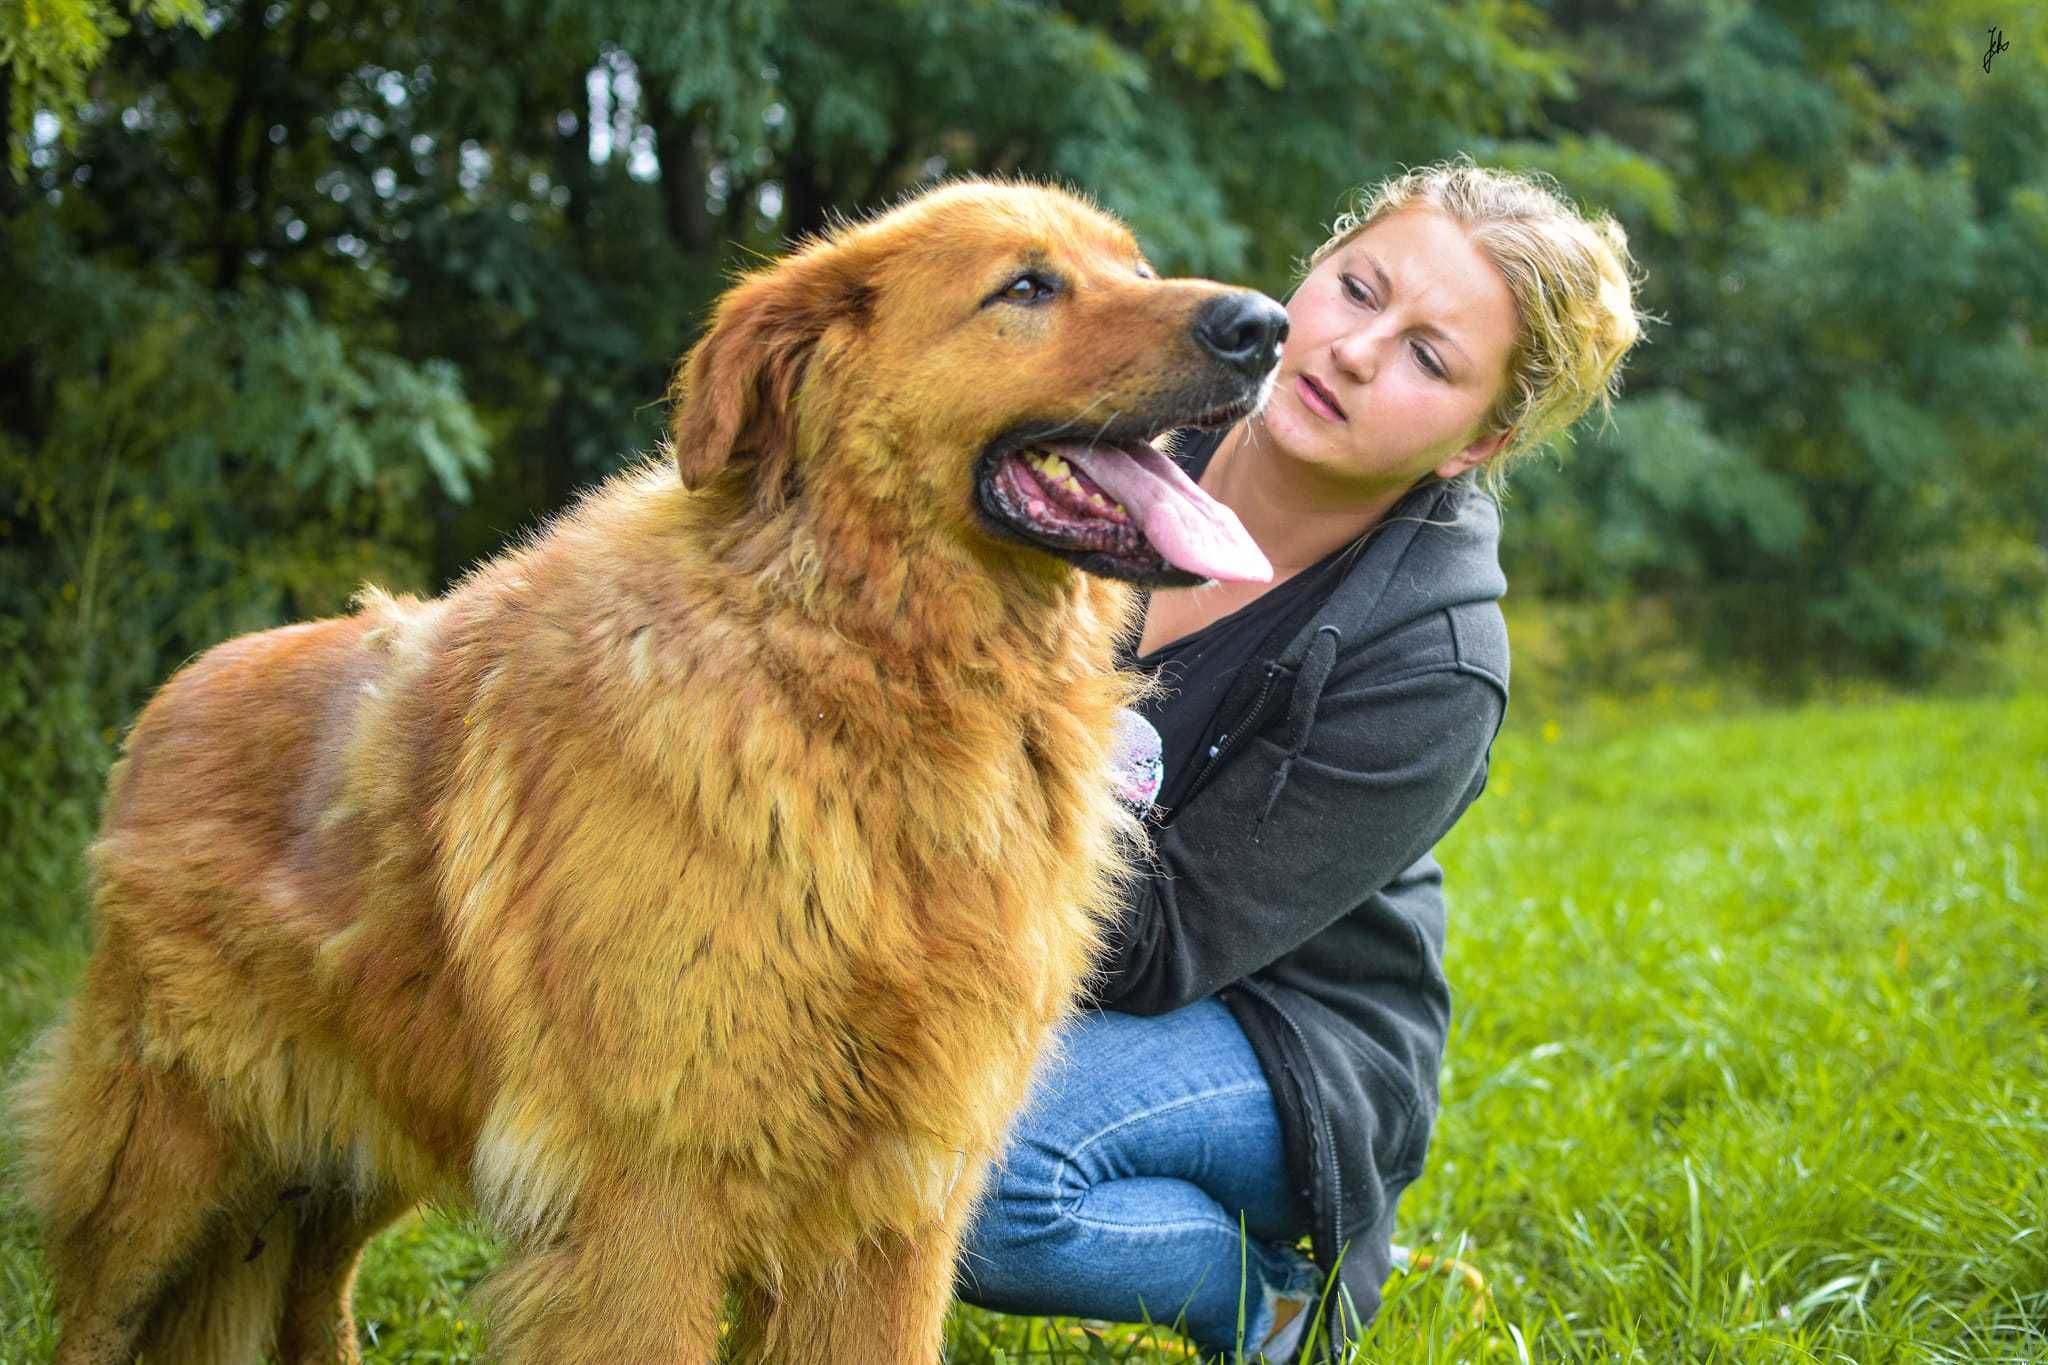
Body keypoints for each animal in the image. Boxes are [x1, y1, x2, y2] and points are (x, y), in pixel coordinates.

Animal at [16, 181, 1286, 1365]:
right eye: (1026, 287)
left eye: (1135, 269)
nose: (1263, 327)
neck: (853, 663)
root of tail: (172, 698)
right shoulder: (648, 1201)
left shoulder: (890, 1219)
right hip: (158, 1168)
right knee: (97, 1316)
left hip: (351, 1153)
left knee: (308, 1301)